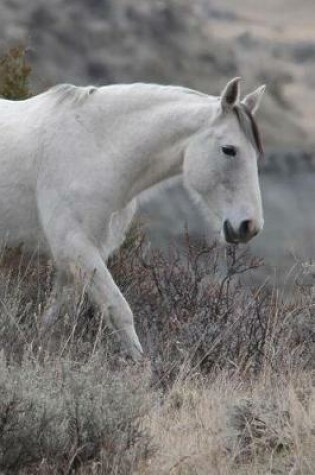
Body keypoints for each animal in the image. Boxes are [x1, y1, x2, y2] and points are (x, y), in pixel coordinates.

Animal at [0, 78, 266, 360]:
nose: (250, 226)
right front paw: (140, 367)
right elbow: (119, 309)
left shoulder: (79, 258)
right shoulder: (74, 247)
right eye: (229, 150)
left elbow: (54, 316)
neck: (94, 147)